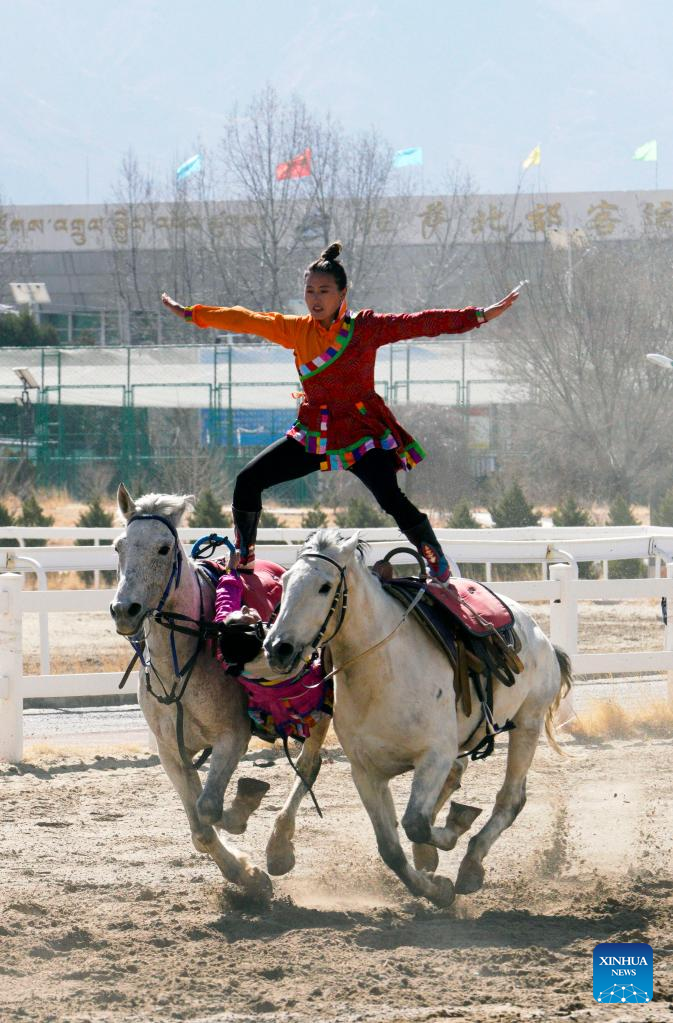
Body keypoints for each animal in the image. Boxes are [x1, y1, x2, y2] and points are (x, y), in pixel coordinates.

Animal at [109, 484, 327, 896]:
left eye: (164, 548)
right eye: (119, 546)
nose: (124, 610)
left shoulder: (232, 736)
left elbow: (211, 808)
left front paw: (243, 810)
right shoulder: (171, 753)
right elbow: (200, 829)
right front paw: (246, 875)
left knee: (308, 763)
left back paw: (279, 847)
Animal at [263, 531, 568, 908]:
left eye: (325, 586)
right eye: (285, 582)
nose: (278, 648)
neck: (382, 672)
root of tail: (542, 637)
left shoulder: (434, 756)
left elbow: (416, 824)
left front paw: (450, 837)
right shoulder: (366, 772)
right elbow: (391, 847)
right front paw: (433, 887)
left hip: (528, 723)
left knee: (510, 799)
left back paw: (470, 864)